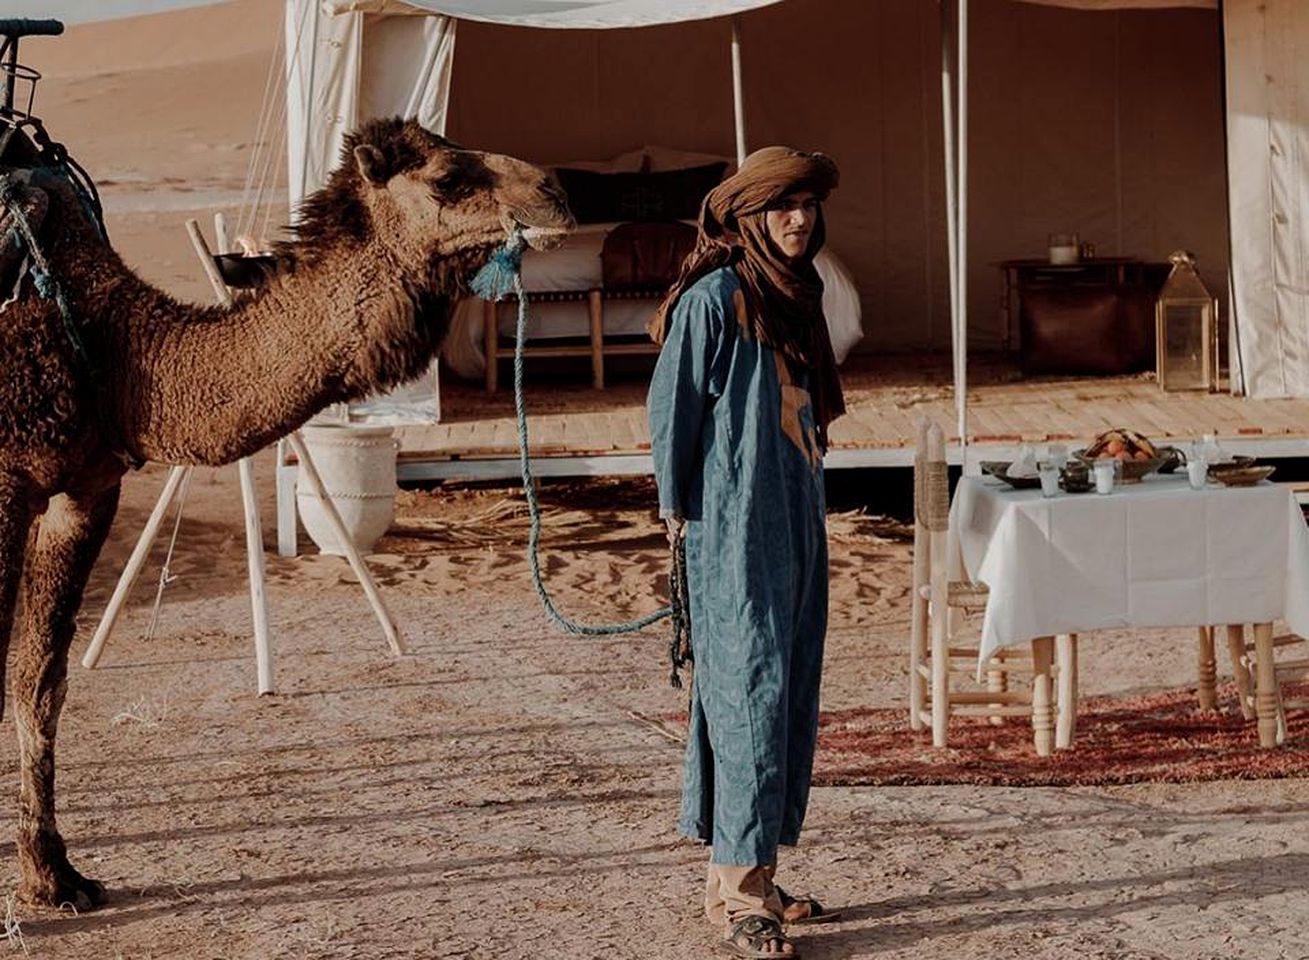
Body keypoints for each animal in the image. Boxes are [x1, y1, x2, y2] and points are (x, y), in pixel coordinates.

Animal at [0, 115, 573, 901]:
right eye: (449, 178)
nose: (558, 193)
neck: (115, 348)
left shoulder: (86, 491)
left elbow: (39, 679)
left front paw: (54, 874)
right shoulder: (5, 481)